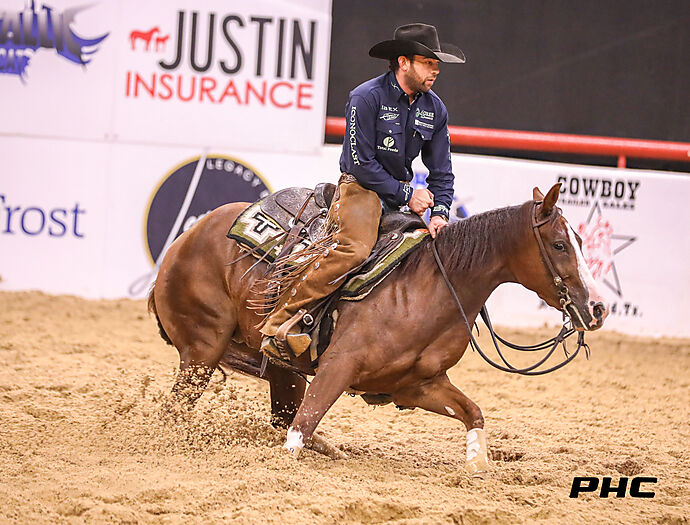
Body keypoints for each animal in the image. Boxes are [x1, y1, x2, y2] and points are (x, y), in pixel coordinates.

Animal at [148, 182, 609, 474]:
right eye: (560, 245)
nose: (597, 307)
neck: (430, 286)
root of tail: (187, 237)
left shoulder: (419, 385)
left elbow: (473, 413)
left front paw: (479, 466)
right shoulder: (338, 366)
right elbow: (300, 431)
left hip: (280, 368)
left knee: (282, 415)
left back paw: (333, 451)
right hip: (203, 351)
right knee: (177, 413)